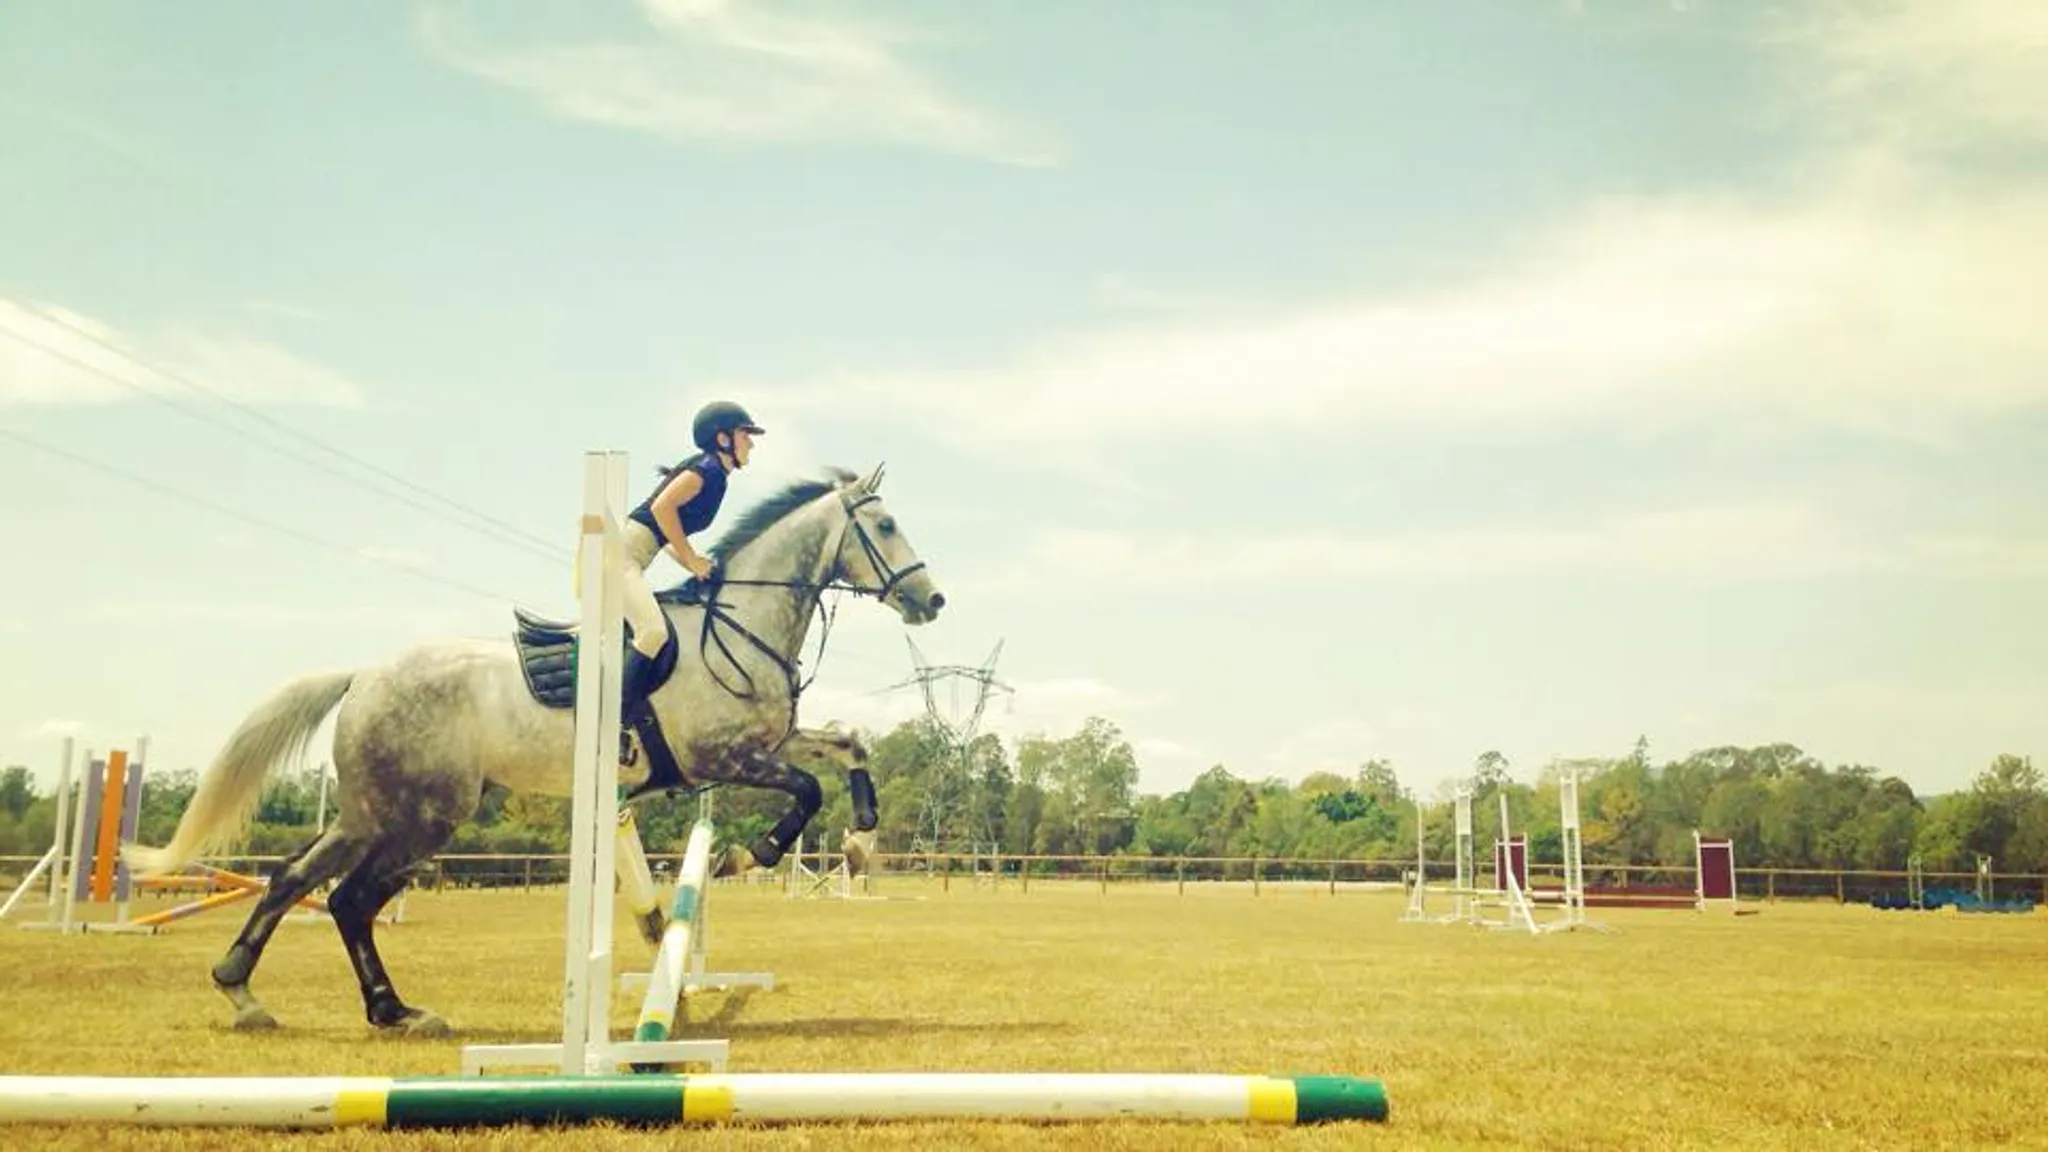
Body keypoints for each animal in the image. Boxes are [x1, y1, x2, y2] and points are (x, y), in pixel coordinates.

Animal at [124, 462, 945, 1036]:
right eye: (887, 526)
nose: (931, 600)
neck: (738, 622)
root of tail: (363, 677)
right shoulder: (724, 758)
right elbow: (804, 791)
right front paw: (749, 854)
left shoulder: (771, 740)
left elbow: (849, 747)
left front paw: (861, 837)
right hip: (422, 816)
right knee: (348, 897)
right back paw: (380, 1009)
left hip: (374, 813)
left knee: (301, 881)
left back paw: (256, 993)